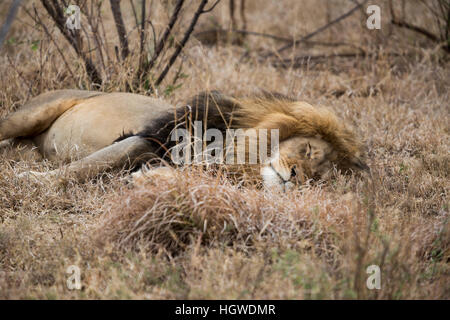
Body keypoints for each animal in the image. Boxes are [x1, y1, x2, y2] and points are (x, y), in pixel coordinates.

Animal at [0, 89, 368, 190]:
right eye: (308, 149)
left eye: (319, 179)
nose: (295, 178)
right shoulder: (149, 138)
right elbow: (82, 169)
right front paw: (30, 181)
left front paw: (143, 180)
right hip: (29, 115)